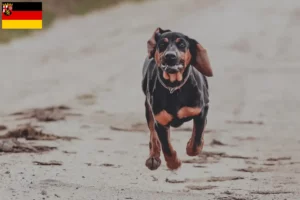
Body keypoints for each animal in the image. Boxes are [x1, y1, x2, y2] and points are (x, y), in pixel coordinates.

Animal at [142, 27, 212, 170]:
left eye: (182, 44)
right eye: (162, 44)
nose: (170, 56)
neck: (173, 87)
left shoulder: (201, 111)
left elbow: (197, 138)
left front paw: (191, 148)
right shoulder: (160, 121)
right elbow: (166, 146)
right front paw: (174, 163)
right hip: (148, 109)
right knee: (153, 135)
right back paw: (153, 158)